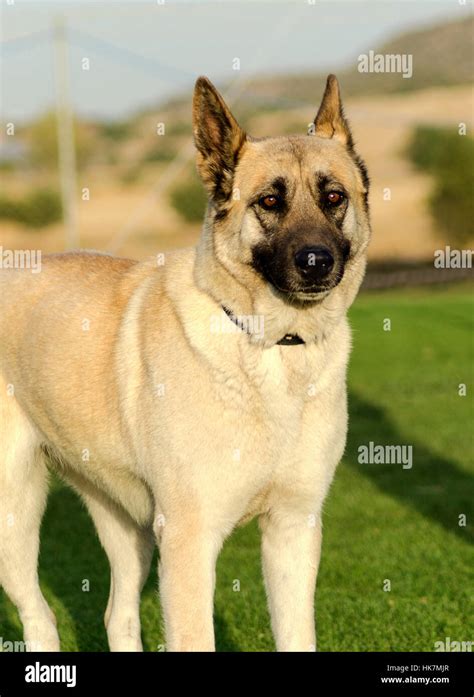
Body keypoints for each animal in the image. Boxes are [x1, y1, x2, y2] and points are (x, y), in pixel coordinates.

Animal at [0, 76, 370, 652]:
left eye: (334, 197)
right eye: (269, 201)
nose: (316, 262)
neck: (272, 345)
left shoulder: (293, 529)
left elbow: (296, 635)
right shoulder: (190, 541)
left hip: (123, 525)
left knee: (118, 615)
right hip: (15, 517)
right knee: (40, 616)